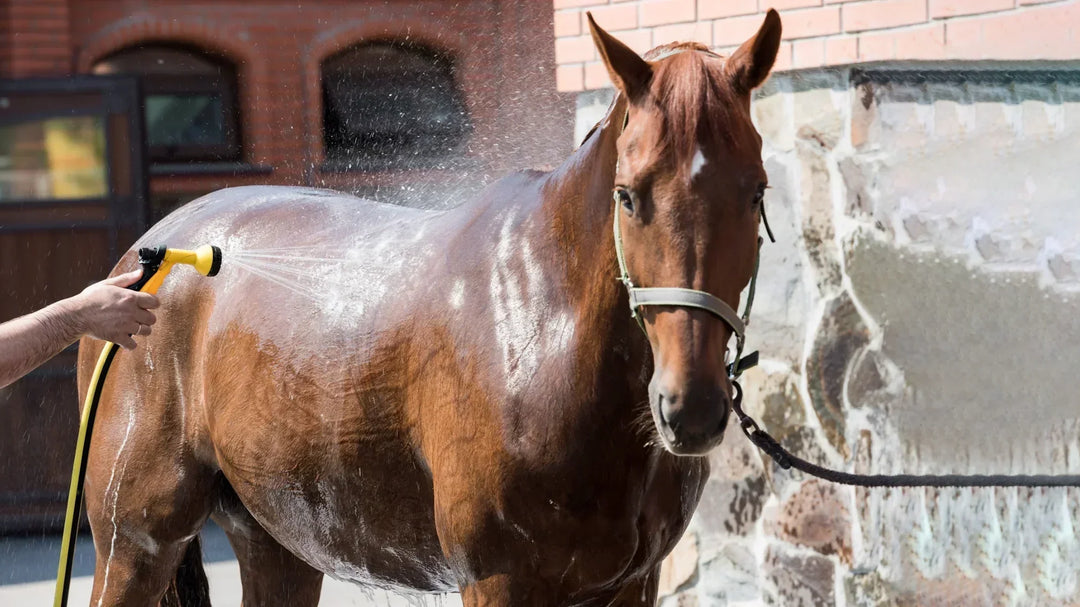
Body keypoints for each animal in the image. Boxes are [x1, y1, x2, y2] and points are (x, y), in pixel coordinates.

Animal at [76, 11, 782, 606]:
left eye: (756, 192)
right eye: (628, 195)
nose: (690, 408)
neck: (544, 332)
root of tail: (151, 254)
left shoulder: (634, 583)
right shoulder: (499, 581)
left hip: (277, 541)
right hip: (133, 543)